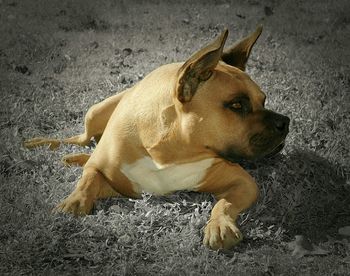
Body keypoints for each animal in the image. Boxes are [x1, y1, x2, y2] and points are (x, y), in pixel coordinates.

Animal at [23, 27, 288, 250]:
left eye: (263, 100)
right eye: (236, 105)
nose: (285, 122)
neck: (171, 151)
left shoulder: (243, 183)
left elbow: (224, 204)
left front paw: (220, 225)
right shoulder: (107, 175)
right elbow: (87, 179)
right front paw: (74, 202)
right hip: (95, 112)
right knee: (82, 139)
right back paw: (45, 144)